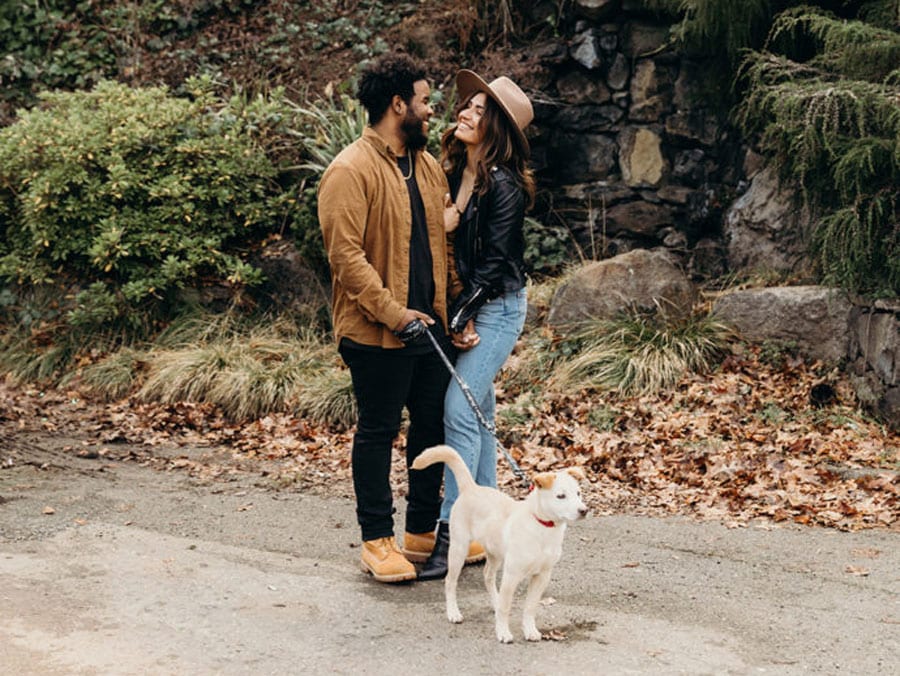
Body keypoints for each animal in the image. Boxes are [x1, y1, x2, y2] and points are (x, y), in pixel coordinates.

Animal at [410, 446, 588, 640]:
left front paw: (530, 630)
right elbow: (505, 608)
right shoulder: (512, 575)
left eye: (578, 493)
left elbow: (530, 607)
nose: (584, 510)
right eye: (561, 496)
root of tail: (471, 488)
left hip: (494, 553)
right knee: (450, 581)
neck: (542, 527)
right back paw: (453, 613)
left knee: (488, 575)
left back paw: (494, 602)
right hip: (459, 548)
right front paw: (503, 632)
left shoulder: (542, 576)